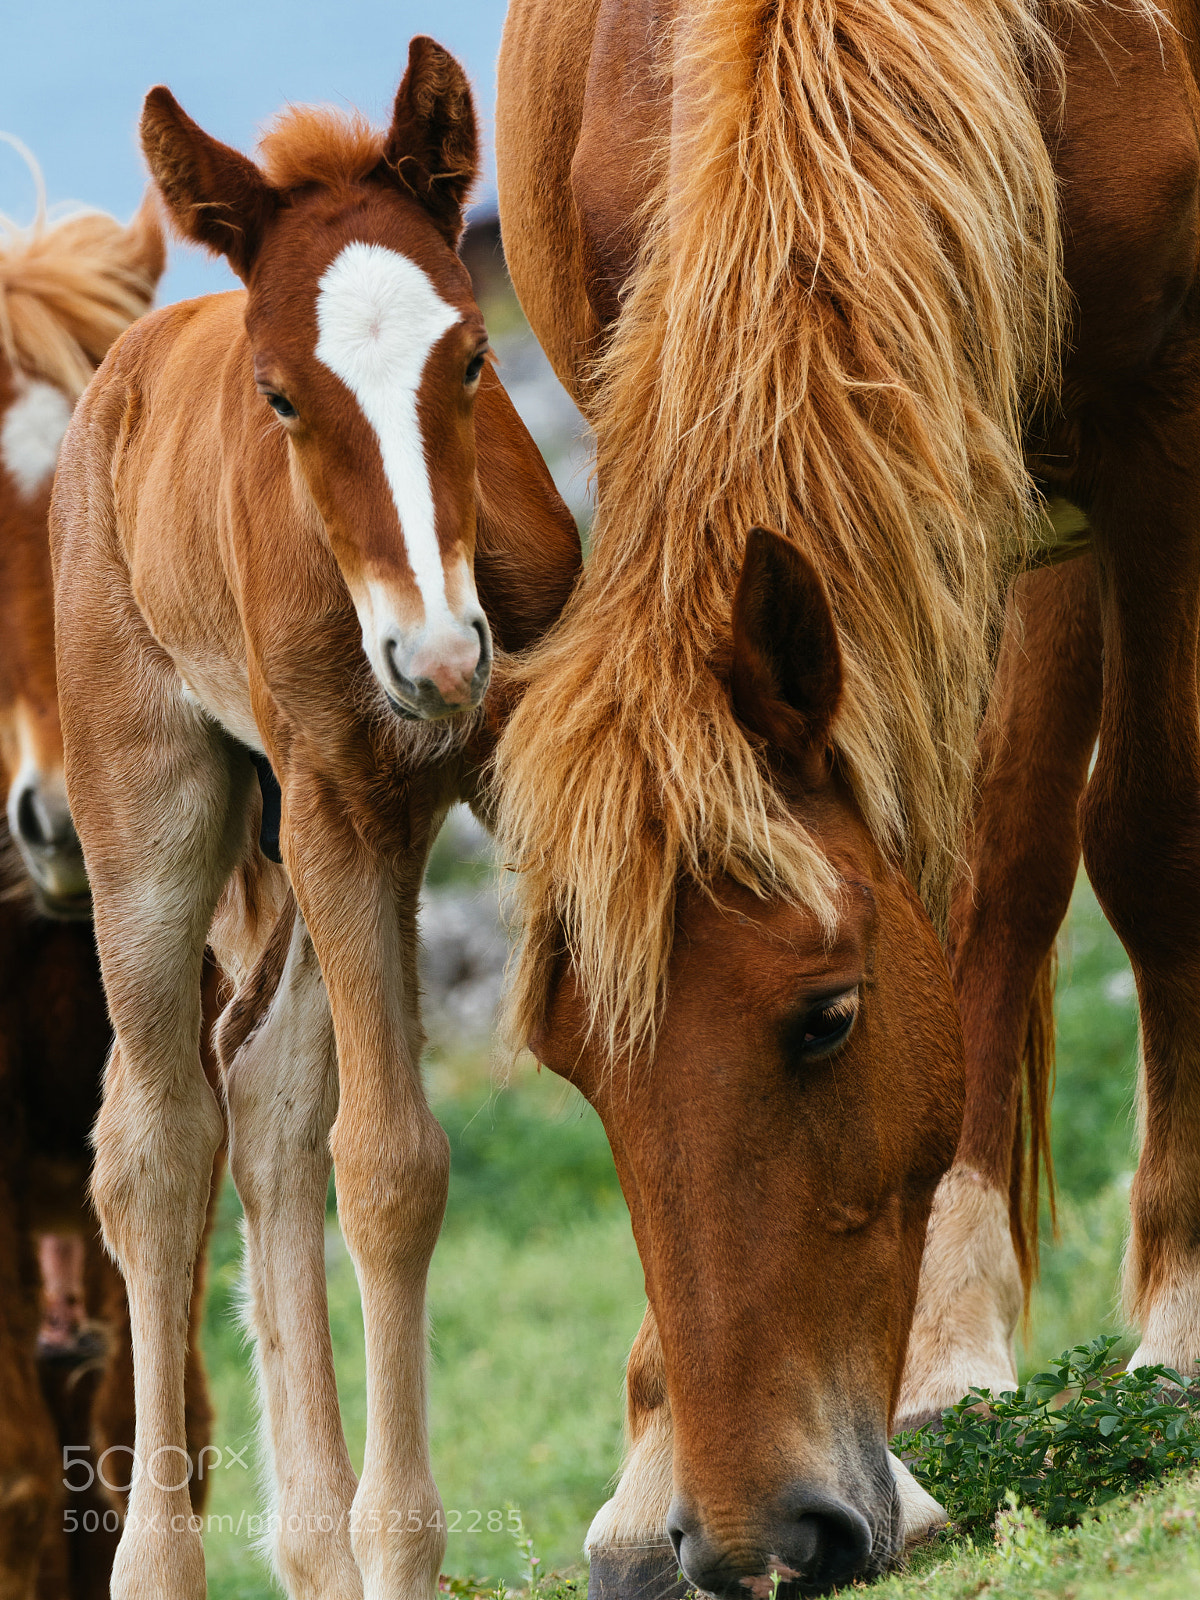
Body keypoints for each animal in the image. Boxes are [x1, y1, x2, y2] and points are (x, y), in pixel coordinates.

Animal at [50, 38, 581, 1600]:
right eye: (281, 397)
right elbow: (391, 1166)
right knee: (158, 1144)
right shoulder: (343, 804)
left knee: (269, 1095)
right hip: (161, 822)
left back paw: (312, 1543)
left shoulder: (516, 751)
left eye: (472, 358)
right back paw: (166, 1564)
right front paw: (406, 1550)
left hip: (330, 849)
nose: (438, 659)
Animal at [493, 0, 1200, 1591]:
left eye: (825, 1021)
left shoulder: (1164, 432)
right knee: (1003, 864)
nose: (762, 1538)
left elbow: (1158, 841)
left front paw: (1185, 1319)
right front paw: (651, 1467)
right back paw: (950, 1361)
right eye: (575, 1070)